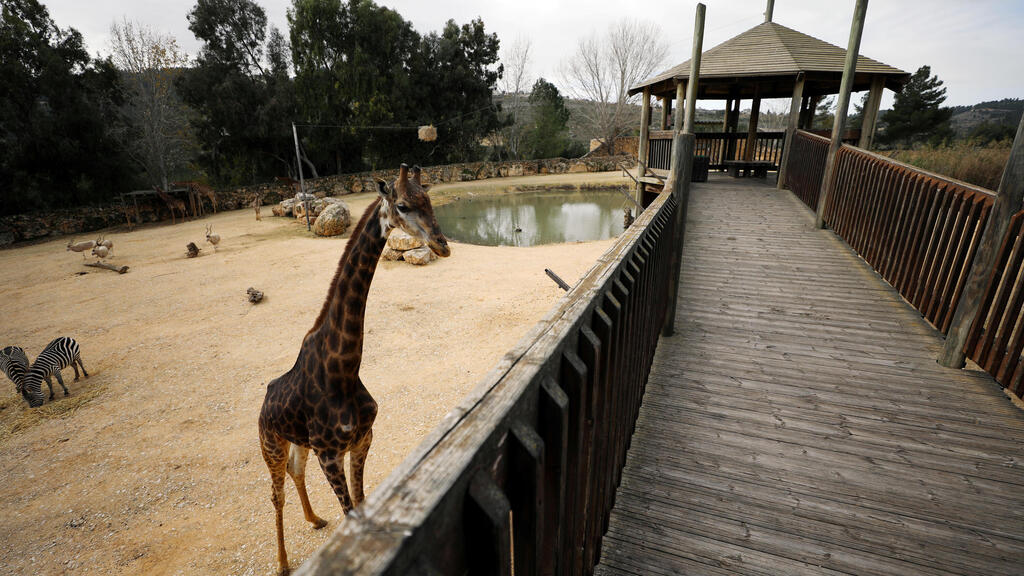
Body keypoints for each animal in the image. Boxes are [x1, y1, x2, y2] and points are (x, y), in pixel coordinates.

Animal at [256, 162, 448, 573]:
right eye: (403, 205)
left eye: (429, 199)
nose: (442, 245)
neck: (342, 368)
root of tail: (264, 401)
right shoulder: (330, 454)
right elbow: (351, 513)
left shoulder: (362, 440)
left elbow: (360, 502)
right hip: (271, 444)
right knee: (276, 494)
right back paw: (282, 563)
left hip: (300, 443)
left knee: (297, 471)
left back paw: (314, 519)